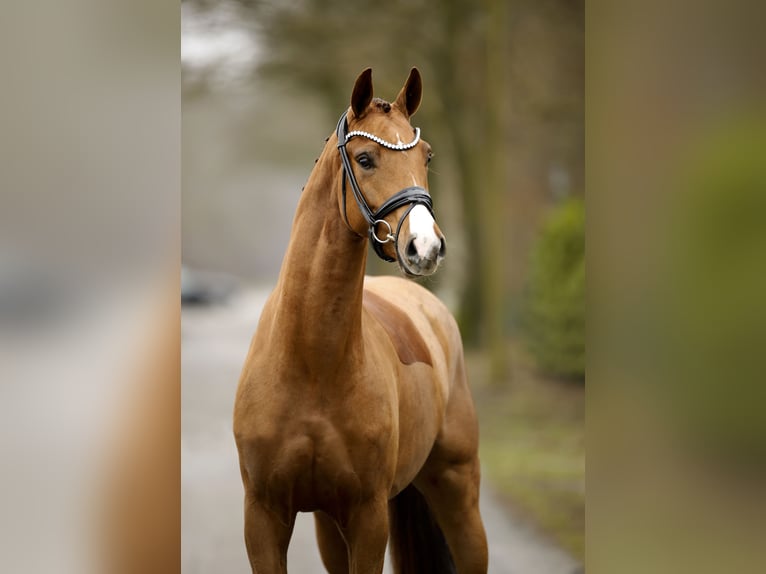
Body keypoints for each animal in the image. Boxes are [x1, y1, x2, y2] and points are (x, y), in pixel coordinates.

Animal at [233, 67, 488, 574]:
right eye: (365, 159)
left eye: (427, 156)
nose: (426, 247)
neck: (312, 363)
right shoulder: (265, 516)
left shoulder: (368, 517)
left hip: (458, 491)